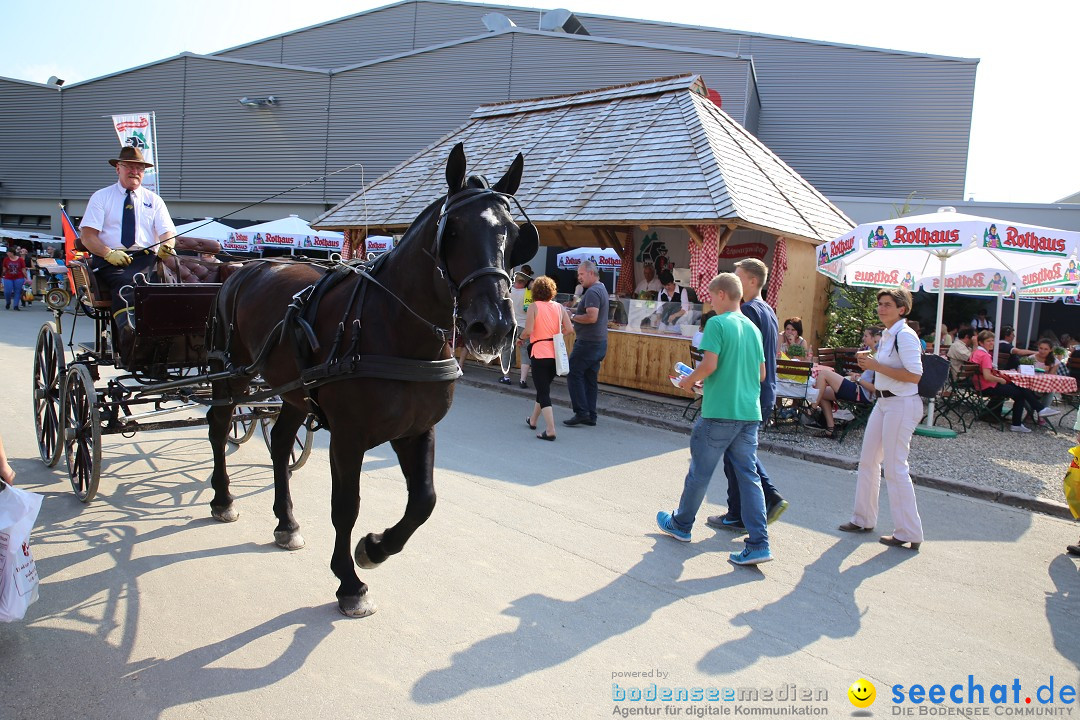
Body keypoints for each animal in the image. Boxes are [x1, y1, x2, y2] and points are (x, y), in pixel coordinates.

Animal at [203, 144, 535, 613]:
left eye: (514, 232)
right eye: (452, 231)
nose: (494, 325)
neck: (396, 330)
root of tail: (245, 268)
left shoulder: (417, 429)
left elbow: (424, 501)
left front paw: (375, 548)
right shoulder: (348, 435)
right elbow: (346, 505)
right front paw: (349, 581)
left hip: (293, 392)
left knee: (282, 442)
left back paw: (286, 522)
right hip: (231, 373)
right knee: (218, 427)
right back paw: (223, 498)